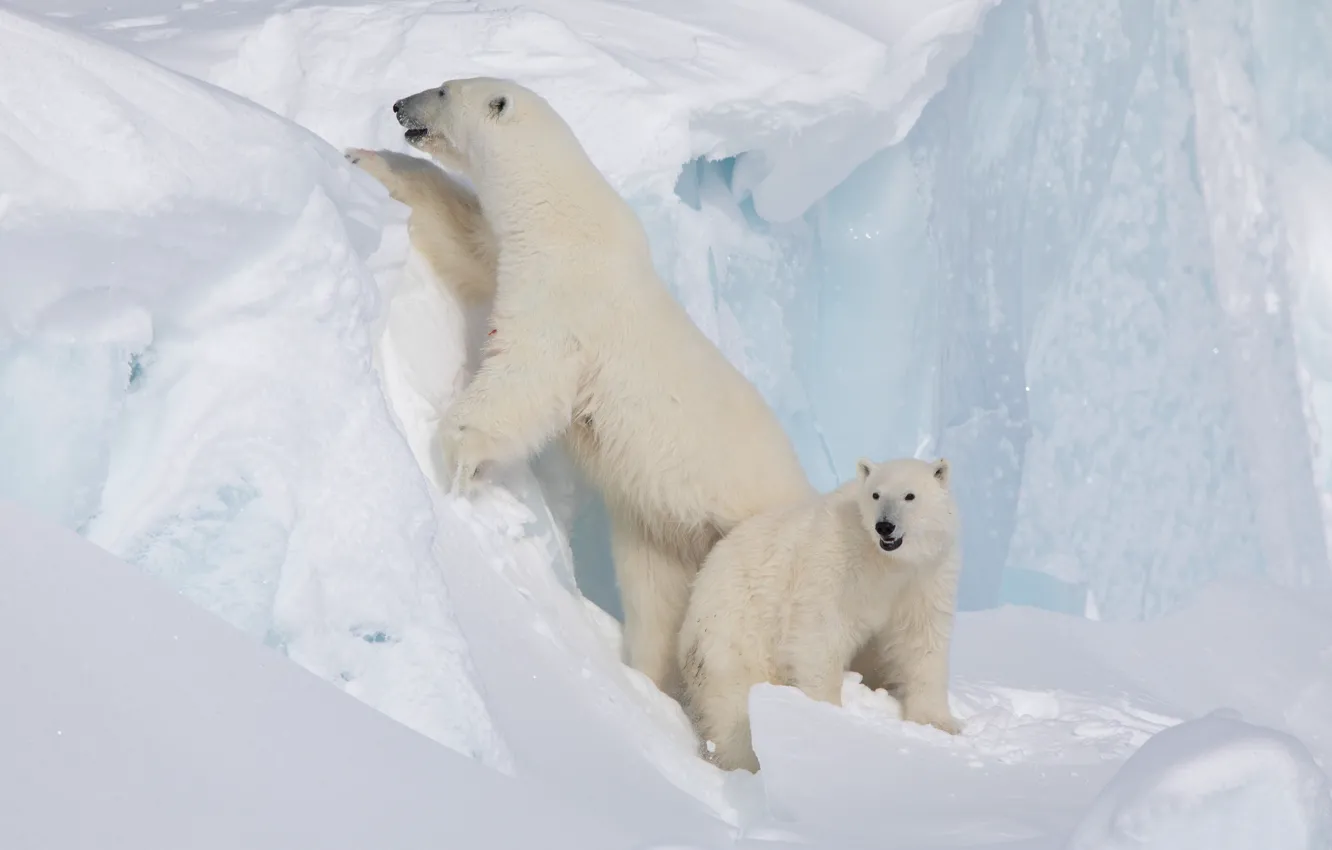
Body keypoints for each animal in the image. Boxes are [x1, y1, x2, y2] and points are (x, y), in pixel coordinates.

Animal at [388, 77, 814, 700]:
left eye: (442, 90)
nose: (399, 106)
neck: (560, 213)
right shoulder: (515, 256)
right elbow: (465, 239)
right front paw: (367, 161)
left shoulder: (566, 295)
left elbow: (527, 375)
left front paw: (458, 459)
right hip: (668, 535)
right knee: (657, 603)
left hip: (756, 545)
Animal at [677, 456, 962, 773]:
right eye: (875, 494)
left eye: (910, 495)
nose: (884, 526)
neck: (886, 562)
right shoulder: (836, 565)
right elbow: (819, 633)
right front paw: (825, 715)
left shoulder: (923, 577)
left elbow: (922, 640)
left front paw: (938, 723)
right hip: (735, 635)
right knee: (732, 709)